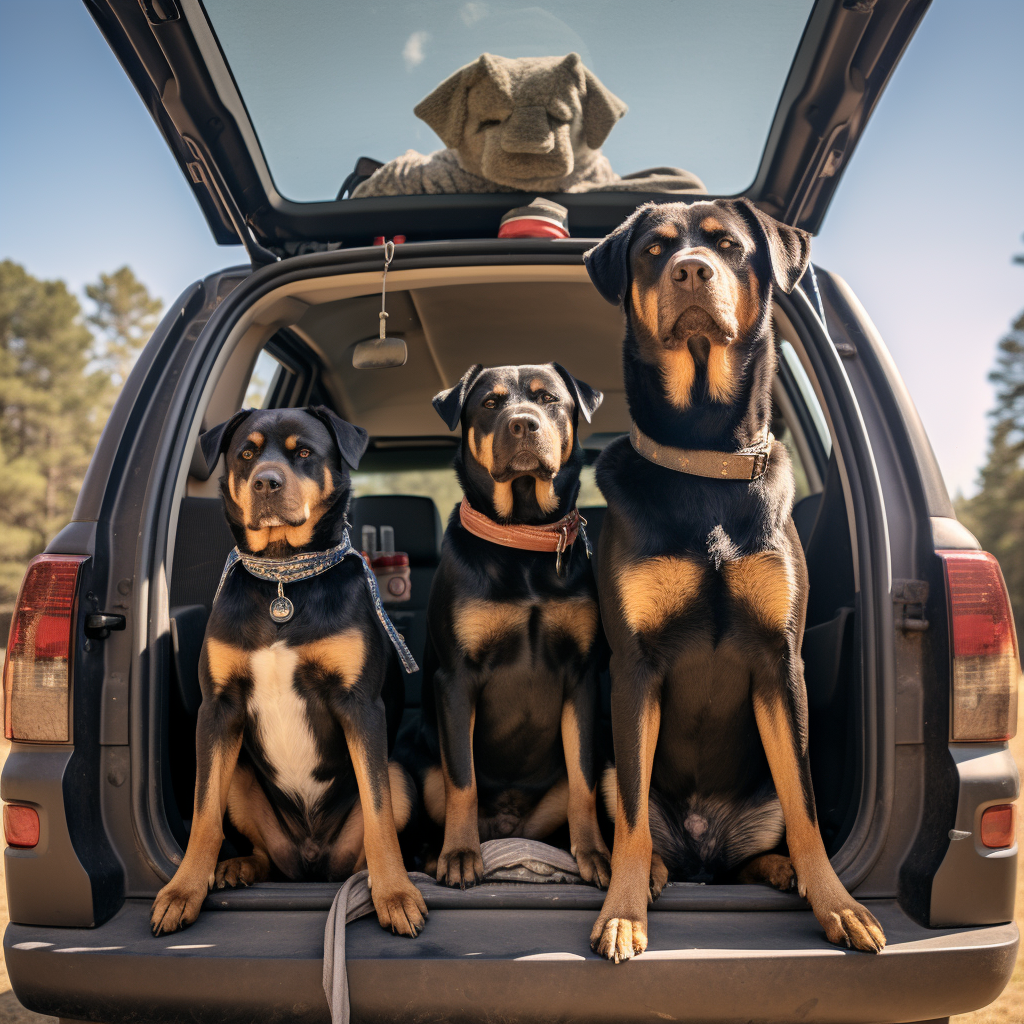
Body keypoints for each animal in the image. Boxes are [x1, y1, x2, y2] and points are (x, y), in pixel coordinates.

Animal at [411, 366, 610, 888]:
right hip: (422, 766)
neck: (524, 537)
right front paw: (460, 855)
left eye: (549, 399)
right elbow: (463, 780)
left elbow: (583, 780)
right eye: (489, 403)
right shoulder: (455, 679)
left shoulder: (582, 676)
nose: (523, 423)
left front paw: (595, 854)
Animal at [585, 197, 888, 958]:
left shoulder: (780, 662)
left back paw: (780, 870)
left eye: (727, 246)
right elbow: (631, 820)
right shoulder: (636, 668)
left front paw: (838, 903)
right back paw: (658, 871)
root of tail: (704, 846)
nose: (691, 270)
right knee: (640, 821)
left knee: (760, 844)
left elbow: (807, 807)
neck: (703, 458)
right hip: (605, 768)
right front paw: (624, 913)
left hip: (757, 800)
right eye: (655, 250)